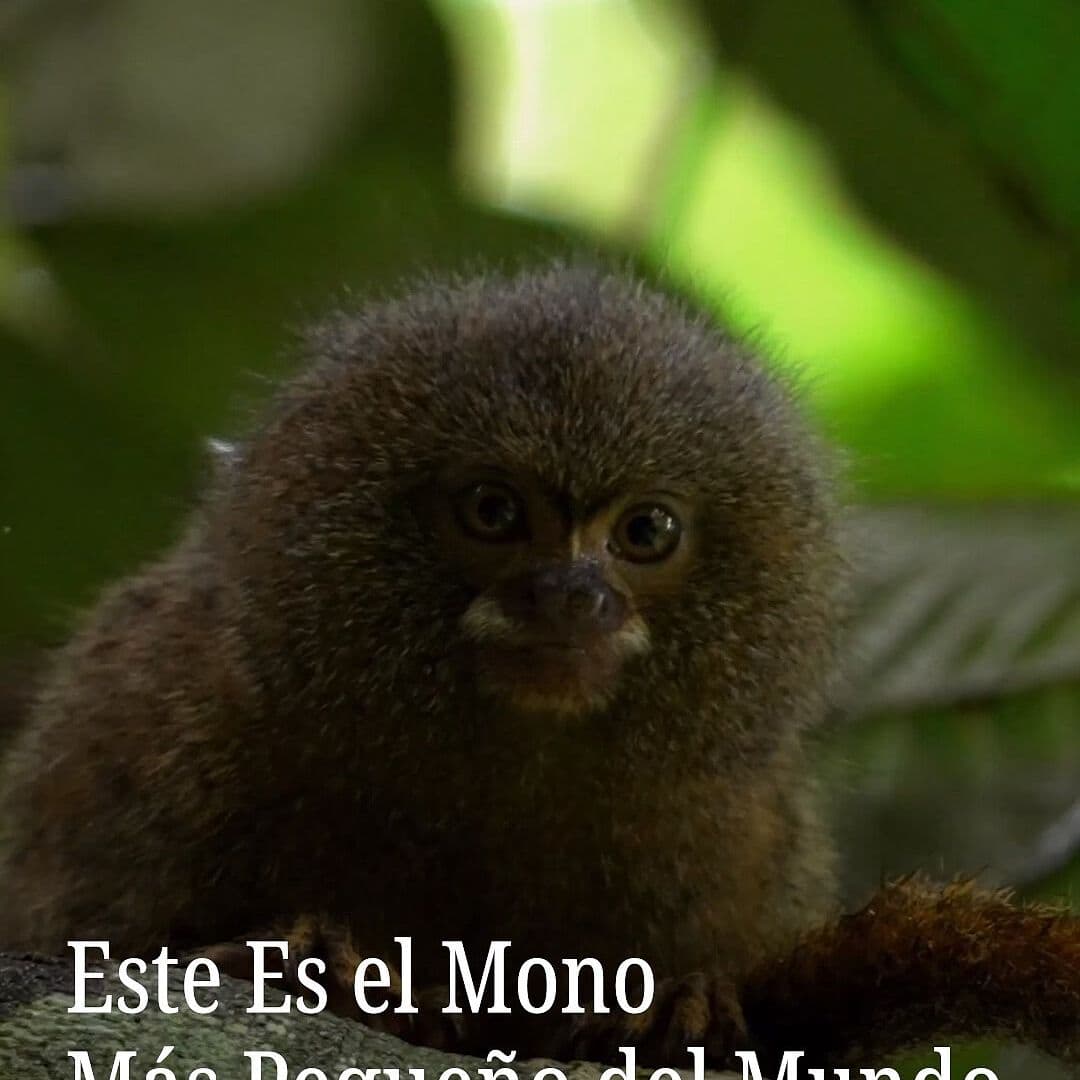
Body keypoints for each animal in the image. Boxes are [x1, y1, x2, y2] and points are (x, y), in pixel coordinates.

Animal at [0, 264, 1077, 1073]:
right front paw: (313, 958)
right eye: (493, 511)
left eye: (645, 531)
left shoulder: (746, 827)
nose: (570, 596)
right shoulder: (143, 724)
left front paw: (679, 1003)